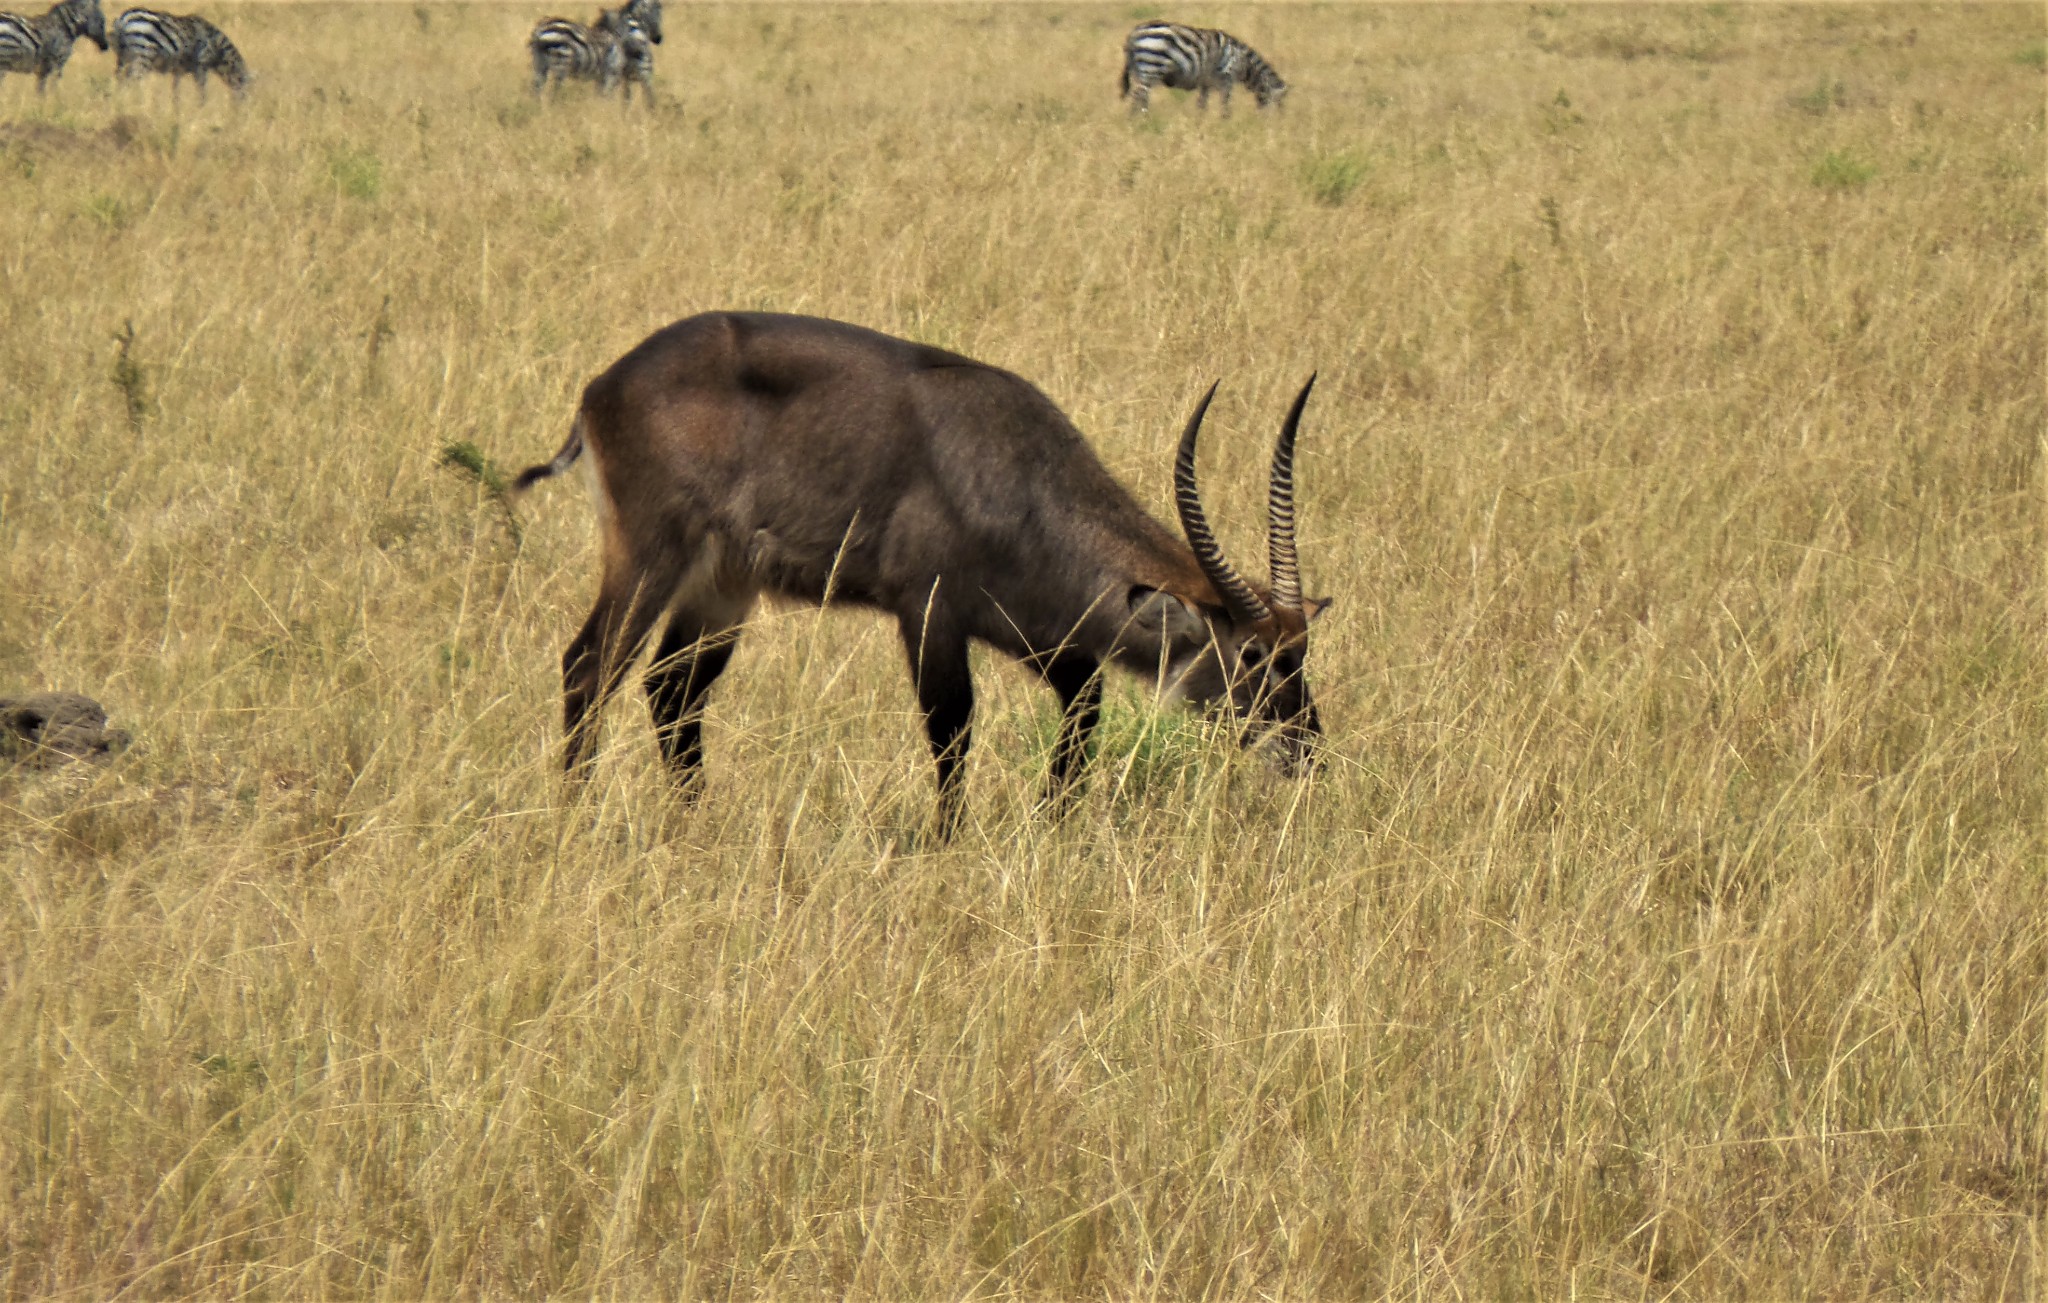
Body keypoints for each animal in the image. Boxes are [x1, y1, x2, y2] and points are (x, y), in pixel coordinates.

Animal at [114, 7, 249, 101]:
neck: (216, 45)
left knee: (120, 79)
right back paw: (136, 102)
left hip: (124, 56)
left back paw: (121, 102)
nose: (243, 114)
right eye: (247, 93)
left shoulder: (178, 69)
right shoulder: (201, 64)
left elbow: (176, 92)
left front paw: (176, 111)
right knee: (132, 81)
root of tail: (124, 19)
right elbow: (202, 92)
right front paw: (200, 109)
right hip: (143, 55)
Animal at [516, 311, 1327, 827]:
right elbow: (953, 730)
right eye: (1253, 654)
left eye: (1302, 650)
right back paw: (574, 819)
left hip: (723, 585)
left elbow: (1084, 711)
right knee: (589, 667)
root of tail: (603, 385)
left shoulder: (1033, 631)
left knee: (672, 694)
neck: (1023, 478)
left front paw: (1053, 822)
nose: (1308, 749)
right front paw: (948, 843)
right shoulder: (930, 612)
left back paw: (695, 826)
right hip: (652, 556)